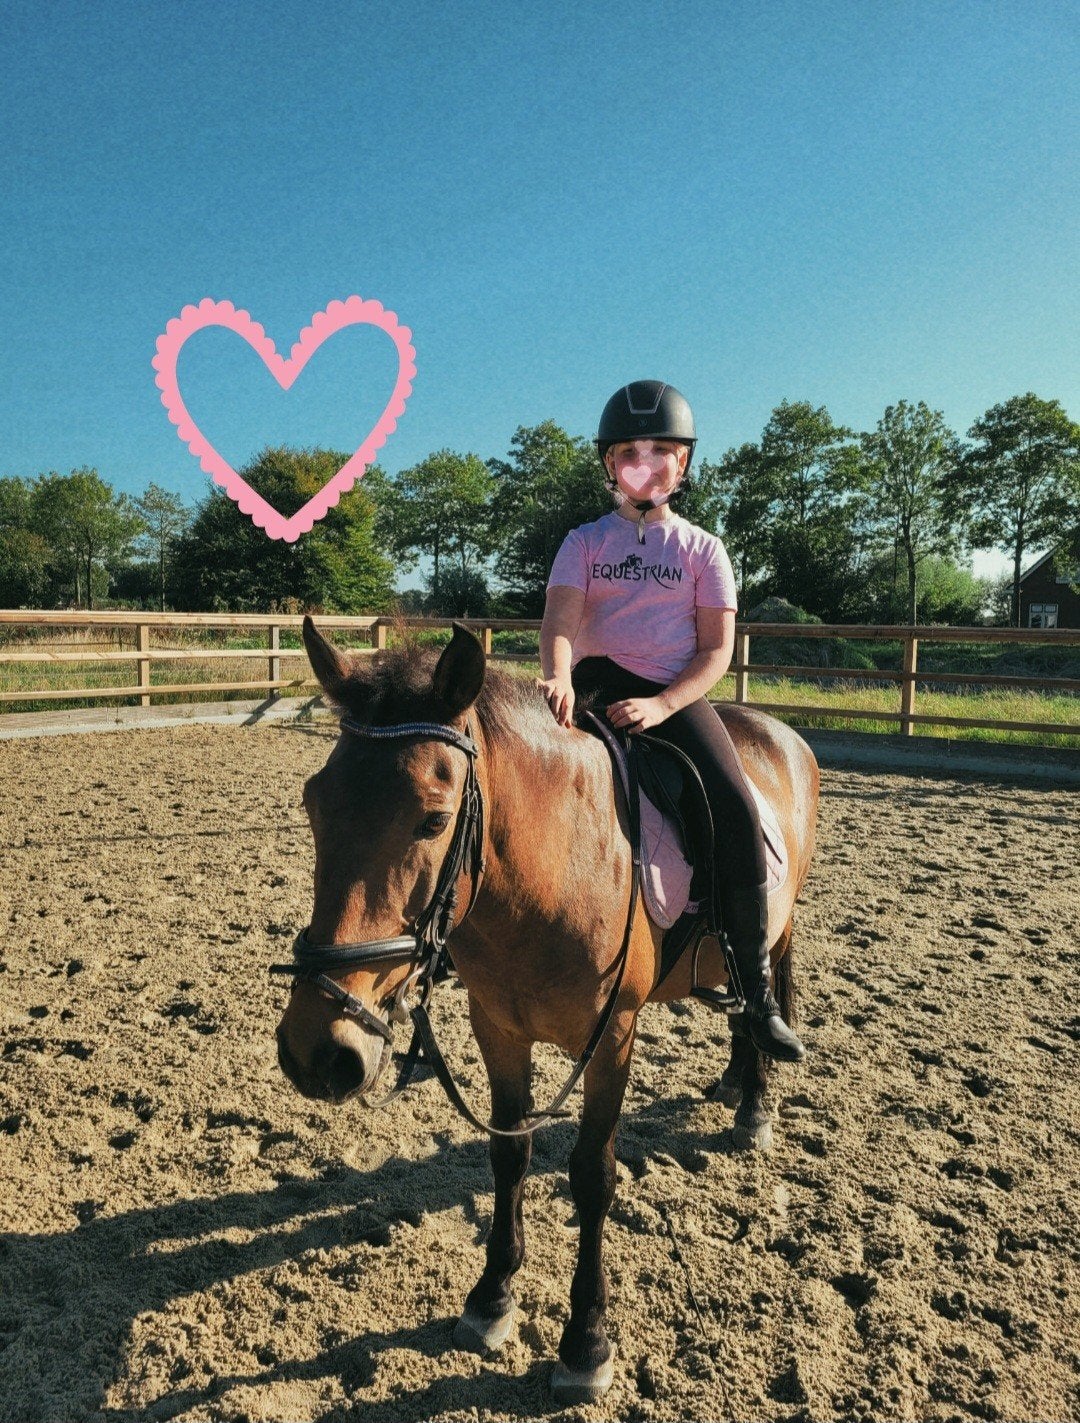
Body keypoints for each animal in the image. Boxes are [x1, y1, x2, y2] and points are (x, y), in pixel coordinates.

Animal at [275, 618, 819, 1405]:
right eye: (315, 803)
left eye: (433, 819)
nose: (318, 1049)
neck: (554, 870)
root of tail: (779, 732)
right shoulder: (498, 1027)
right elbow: (510, 1154)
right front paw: (491, 1299)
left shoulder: (613, 1037)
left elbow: (593, 1174)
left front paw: (585, 1342)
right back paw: (731, 1082)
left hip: (778, 928)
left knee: (764, 988)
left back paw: (755, 1103)